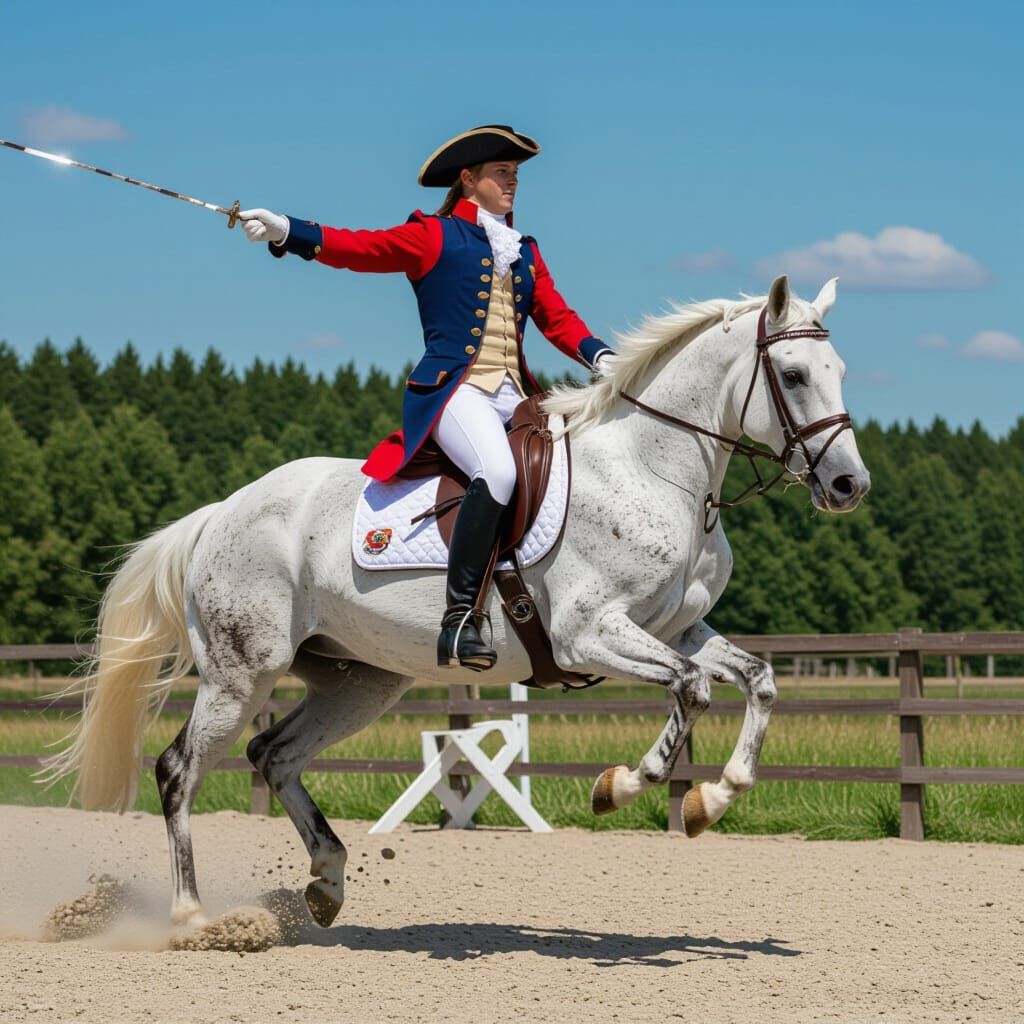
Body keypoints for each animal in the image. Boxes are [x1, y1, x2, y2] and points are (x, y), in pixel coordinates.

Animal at [43, 274, 870, 931]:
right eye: (794, 374)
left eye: (840, 370)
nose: (848, 486)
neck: (653, 470)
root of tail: (222, 511)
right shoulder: (590, 633)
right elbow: (692, 691)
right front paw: (620, 787)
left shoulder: (682, 627)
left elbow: (758, 680)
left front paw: (714, 800)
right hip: (241, 672)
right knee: (180, 768)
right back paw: (191, 915)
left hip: (360, 682)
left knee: (273, 754)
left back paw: (327, 883)